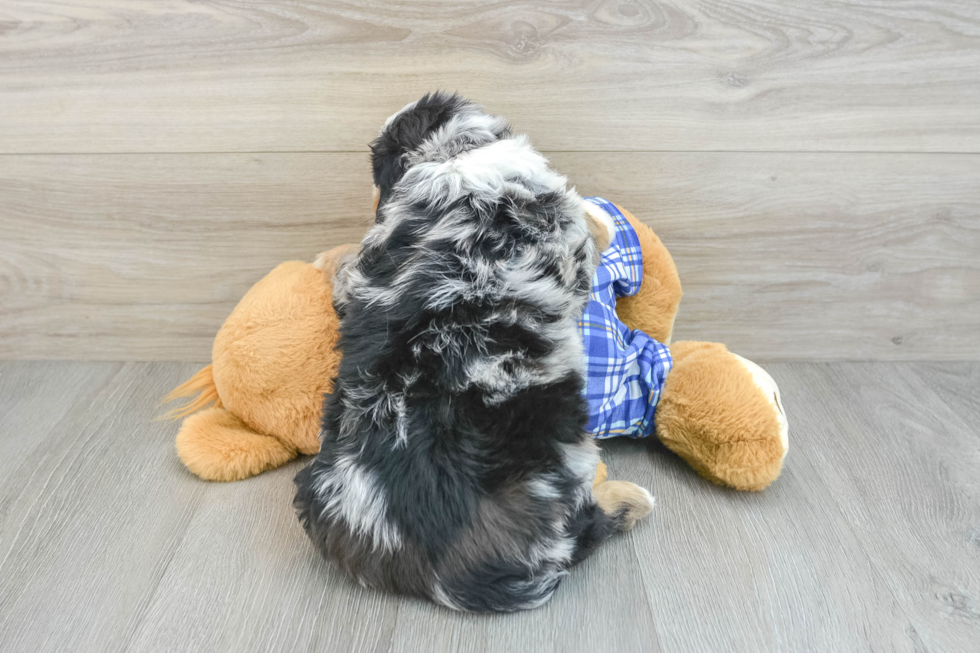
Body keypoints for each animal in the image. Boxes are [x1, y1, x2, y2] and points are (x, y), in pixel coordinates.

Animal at [294, 91, 656, 612]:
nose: (372, 202)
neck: (452, 154)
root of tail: (435, 570)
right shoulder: (566, 239)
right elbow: (591, 227)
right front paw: (604, 217)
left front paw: (326, 260)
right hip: (562, 464)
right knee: (585, 528)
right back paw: (630, 499)